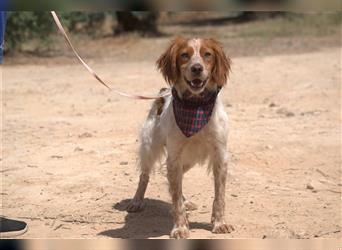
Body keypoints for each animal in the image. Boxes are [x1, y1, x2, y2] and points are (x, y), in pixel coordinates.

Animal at [127, 36, 234, 238]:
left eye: (207, 54)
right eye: (184, 55)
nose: (197, 68)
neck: (196, 105)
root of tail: (162, 93)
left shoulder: (220, 155)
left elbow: (219, 196)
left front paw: (220, 223)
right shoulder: (174, 156)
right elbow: (175, 198)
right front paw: (180, 227)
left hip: (188, 159)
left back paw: (186, 201)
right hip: (150, 148)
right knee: (144, 176)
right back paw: (137, 201)